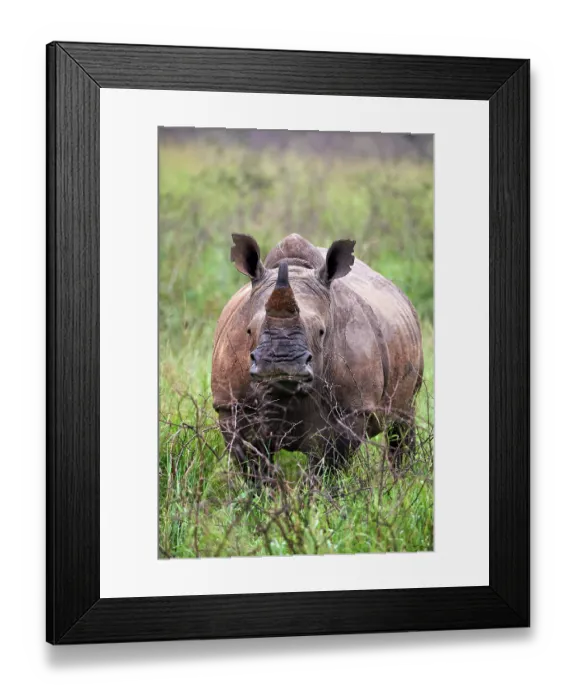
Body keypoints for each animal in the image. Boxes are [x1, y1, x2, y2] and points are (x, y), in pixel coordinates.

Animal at [211, 233, 424, 476]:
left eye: (321, 331)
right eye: (249, 330)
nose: (280, 364)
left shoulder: (350, 411)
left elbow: (327, 467)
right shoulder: (233, 406)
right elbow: (254, 466)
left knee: (403, 418)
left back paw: (403, 479)